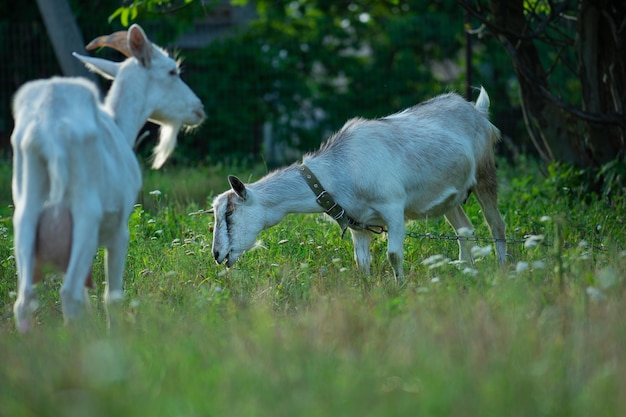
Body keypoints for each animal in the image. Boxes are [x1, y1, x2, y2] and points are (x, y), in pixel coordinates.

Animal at [10, 25, 205, 332]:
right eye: (172, 71)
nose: (198, 108)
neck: (119, 125)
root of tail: (50, 128)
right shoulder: (119, 228)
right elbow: (111, 296)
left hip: (26, 210)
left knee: (25, 299)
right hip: (86, 215)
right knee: (69, 292)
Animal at [212, 88, 504, 280]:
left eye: (229, 213)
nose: (216, 254)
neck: (339, 171)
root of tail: (477, 110)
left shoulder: (393, 208)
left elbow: (393, 255)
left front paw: (400, 289)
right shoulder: (358, 224)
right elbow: (361, 263)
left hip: (485, 174)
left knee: (496, 224)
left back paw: (504, 269)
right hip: (450, 197)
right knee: (465, 229)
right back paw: (466, 271)